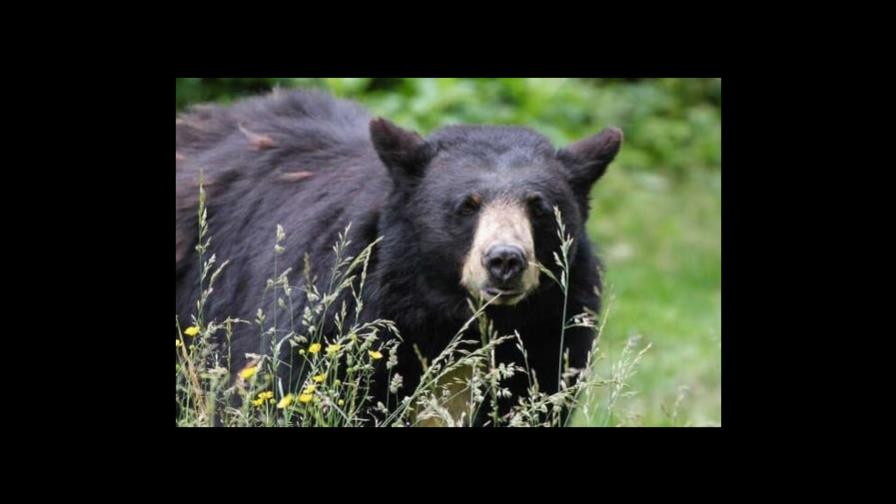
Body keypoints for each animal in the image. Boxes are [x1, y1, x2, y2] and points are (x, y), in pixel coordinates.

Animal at [177, 89, 624, 426]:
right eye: (467, 205)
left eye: (539, 207)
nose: (505, 261)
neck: (451, 318)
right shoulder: (340, 314)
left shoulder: (549, 334)